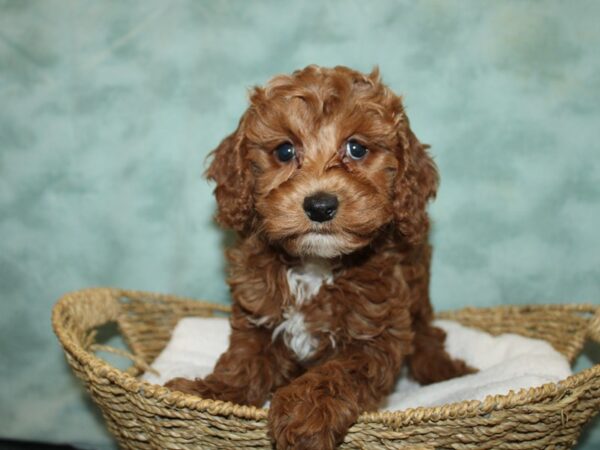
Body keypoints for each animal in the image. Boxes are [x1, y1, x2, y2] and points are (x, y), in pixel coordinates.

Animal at [165, 65, 474, 448]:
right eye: (284, 150)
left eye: (356, 148)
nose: (320, 205)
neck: (315, 264)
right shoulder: (257, 316)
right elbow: (241, 361)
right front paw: (210, 391)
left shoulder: (377, 331)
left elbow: (338, 371)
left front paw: (304, 413)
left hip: (417, 287)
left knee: (428, 332)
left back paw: (443, 368)